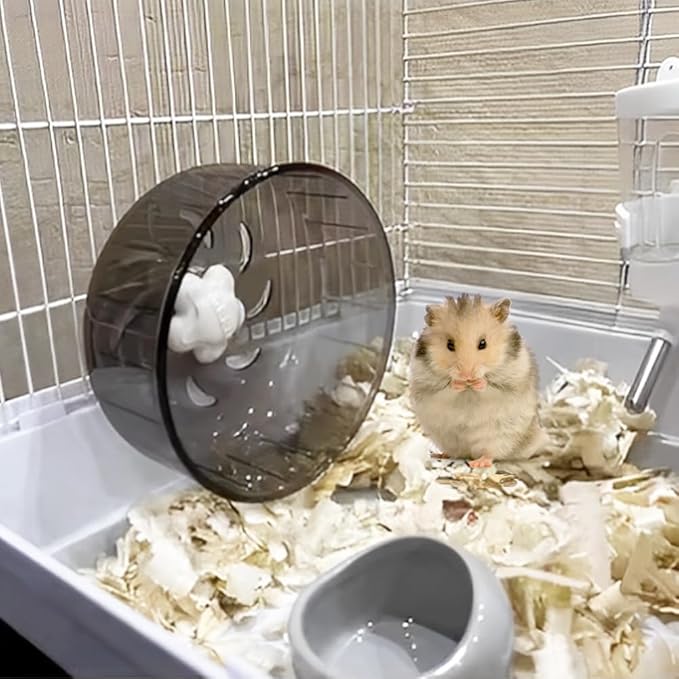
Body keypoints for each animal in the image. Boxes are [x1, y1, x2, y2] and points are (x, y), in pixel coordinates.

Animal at [408, 293, 546, 468]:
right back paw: (440, 454)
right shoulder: (428, 383)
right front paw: (459, 383)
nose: (467, 375)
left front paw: (478, 382)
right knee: (455, 452)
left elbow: (490, 387)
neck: (469, 390)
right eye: (449, 345)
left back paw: (478, 463)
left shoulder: (510, 381)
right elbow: (446, 389)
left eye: (483, 343)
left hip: (499, 436)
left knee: (490, 453)